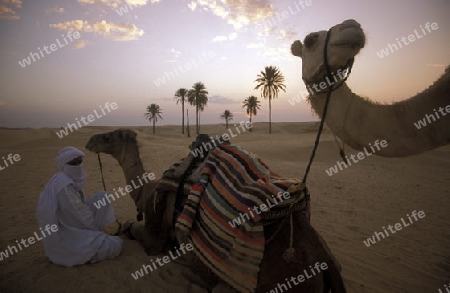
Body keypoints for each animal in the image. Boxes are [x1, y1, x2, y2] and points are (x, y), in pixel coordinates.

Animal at [87, 129, 348, 290]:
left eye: (109, 136)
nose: (90, 140)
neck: (145, 192)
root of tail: (326, 263)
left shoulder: (154, 235)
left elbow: (132, 228)